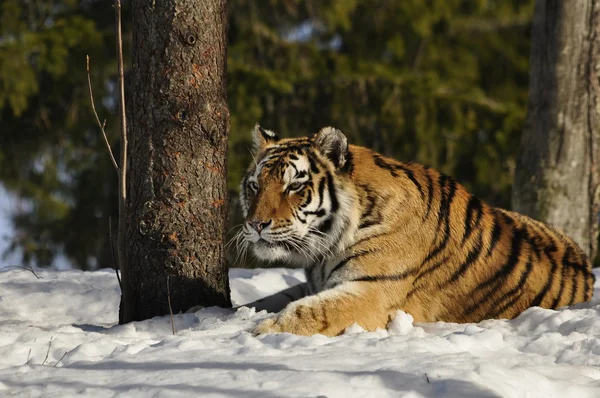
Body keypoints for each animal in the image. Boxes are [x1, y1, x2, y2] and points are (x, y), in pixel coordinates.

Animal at [238, 124, 596, 336]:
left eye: (295, 186)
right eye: (255, 186)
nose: (255, 224)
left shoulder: (371, 292)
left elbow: (308, 312)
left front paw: (263, 331)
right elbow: (279, 297)